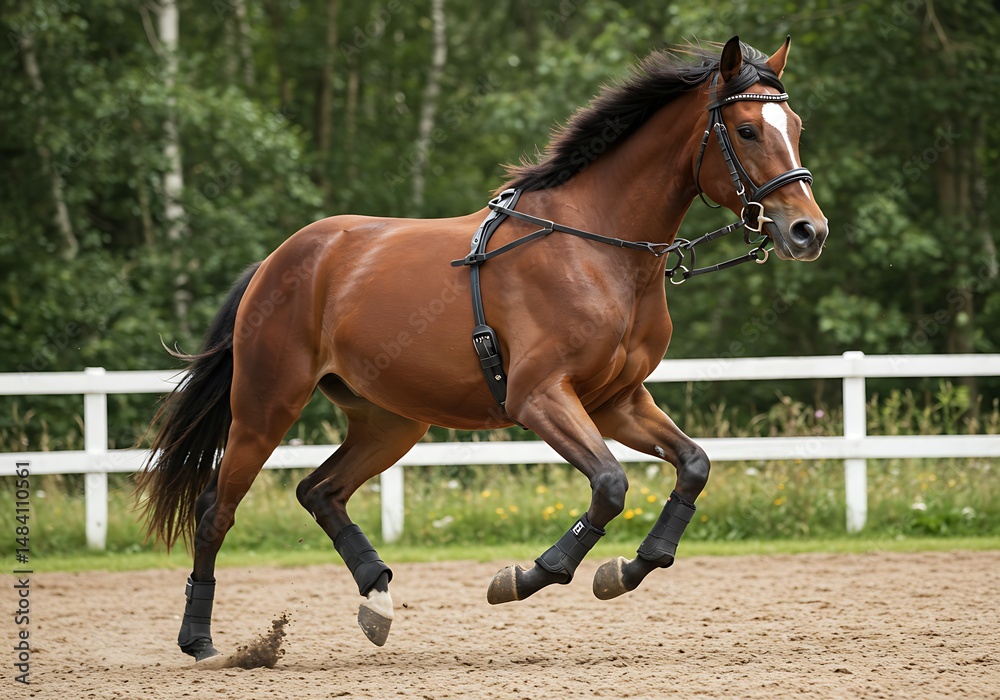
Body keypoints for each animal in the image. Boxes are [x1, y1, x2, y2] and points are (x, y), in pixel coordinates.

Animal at [135, 35, 827, 661]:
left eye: (794, 125)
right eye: (745, 130)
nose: (807, 231)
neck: (599, 249)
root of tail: (281, 259)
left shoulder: (617, 402)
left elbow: (694, 465)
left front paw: (631, 568)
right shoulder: (539, 396)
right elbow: (609, 483)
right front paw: (528, 576)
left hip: (392, 421)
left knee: (319, 491)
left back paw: (377, 599)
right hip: (266, 407)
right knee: (215, 510)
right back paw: (201, 641)